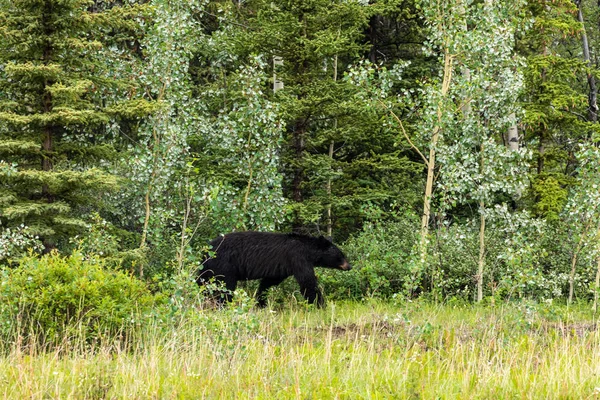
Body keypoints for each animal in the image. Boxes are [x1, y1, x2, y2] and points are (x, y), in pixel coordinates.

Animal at [195, 231, 354, 306]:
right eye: (341, 256)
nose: (349, 266)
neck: (308, 251)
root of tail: (206, 250)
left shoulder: (282, 267)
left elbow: (269, 282)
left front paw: (261, 301)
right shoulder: (297, 257)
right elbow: (307, 281)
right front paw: (320, 304)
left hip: (208, 268)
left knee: (202, 281)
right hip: (225, 265)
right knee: (226, 286)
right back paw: (223, 304)